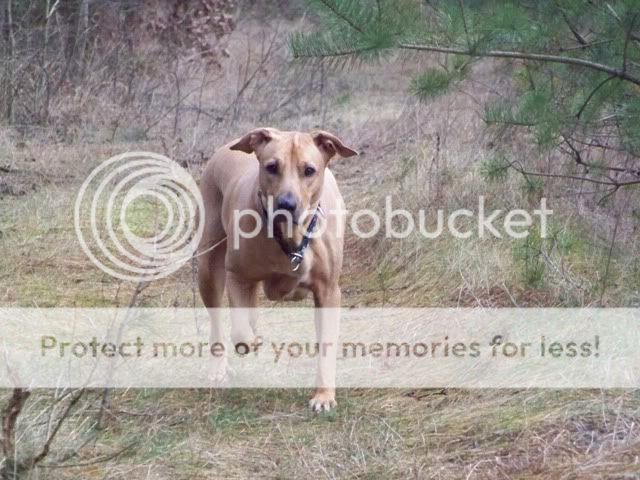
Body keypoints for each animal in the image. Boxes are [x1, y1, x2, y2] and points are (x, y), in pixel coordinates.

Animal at [197, 128, 357, 411]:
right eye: (271, 167)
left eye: (309, 170)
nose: (287, 203)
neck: (289, 235)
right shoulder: (238, 275)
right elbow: (240, 330)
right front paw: (249, 342)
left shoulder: (328, 291)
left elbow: (327, 344)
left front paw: (324, 395)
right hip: (207, 264)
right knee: (218, 318)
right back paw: (219, 365)